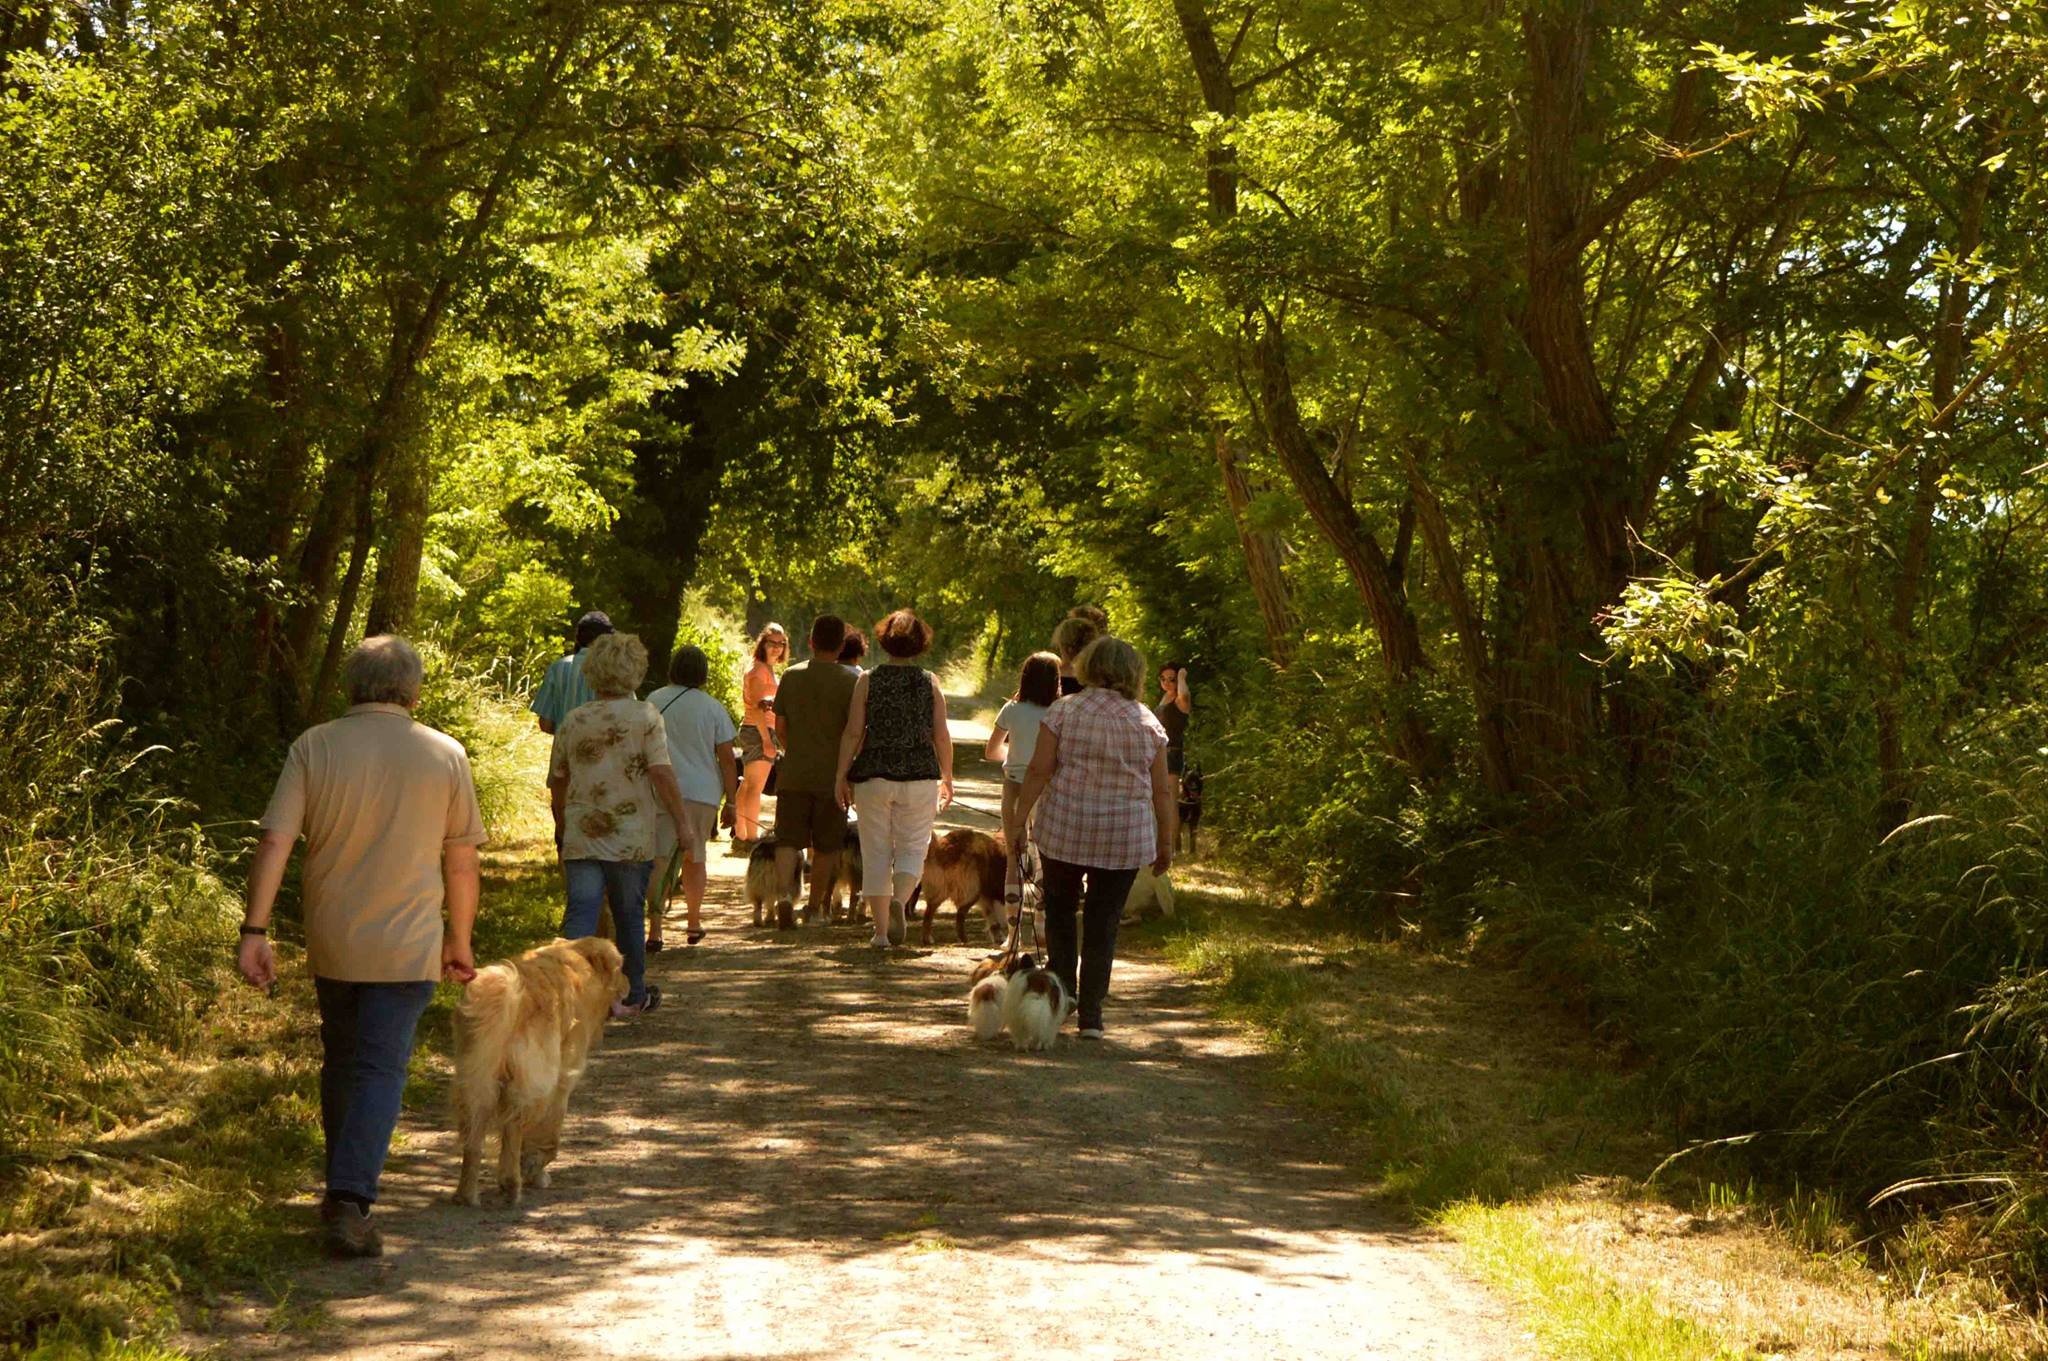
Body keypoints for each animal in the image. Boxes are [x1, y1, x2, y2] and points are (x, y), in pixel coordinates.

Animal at [454, 933, 622, 1203]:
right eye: (622, 969)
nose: (631, 988)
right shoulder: (564, 1076)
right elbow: (549, 1134)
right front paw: (535, 1170)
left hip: (476, 1077)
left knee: (474, 1133)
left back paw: (466, 1194)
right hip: (532, 1082)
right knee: (514, 1126)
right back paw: (511, 1184)